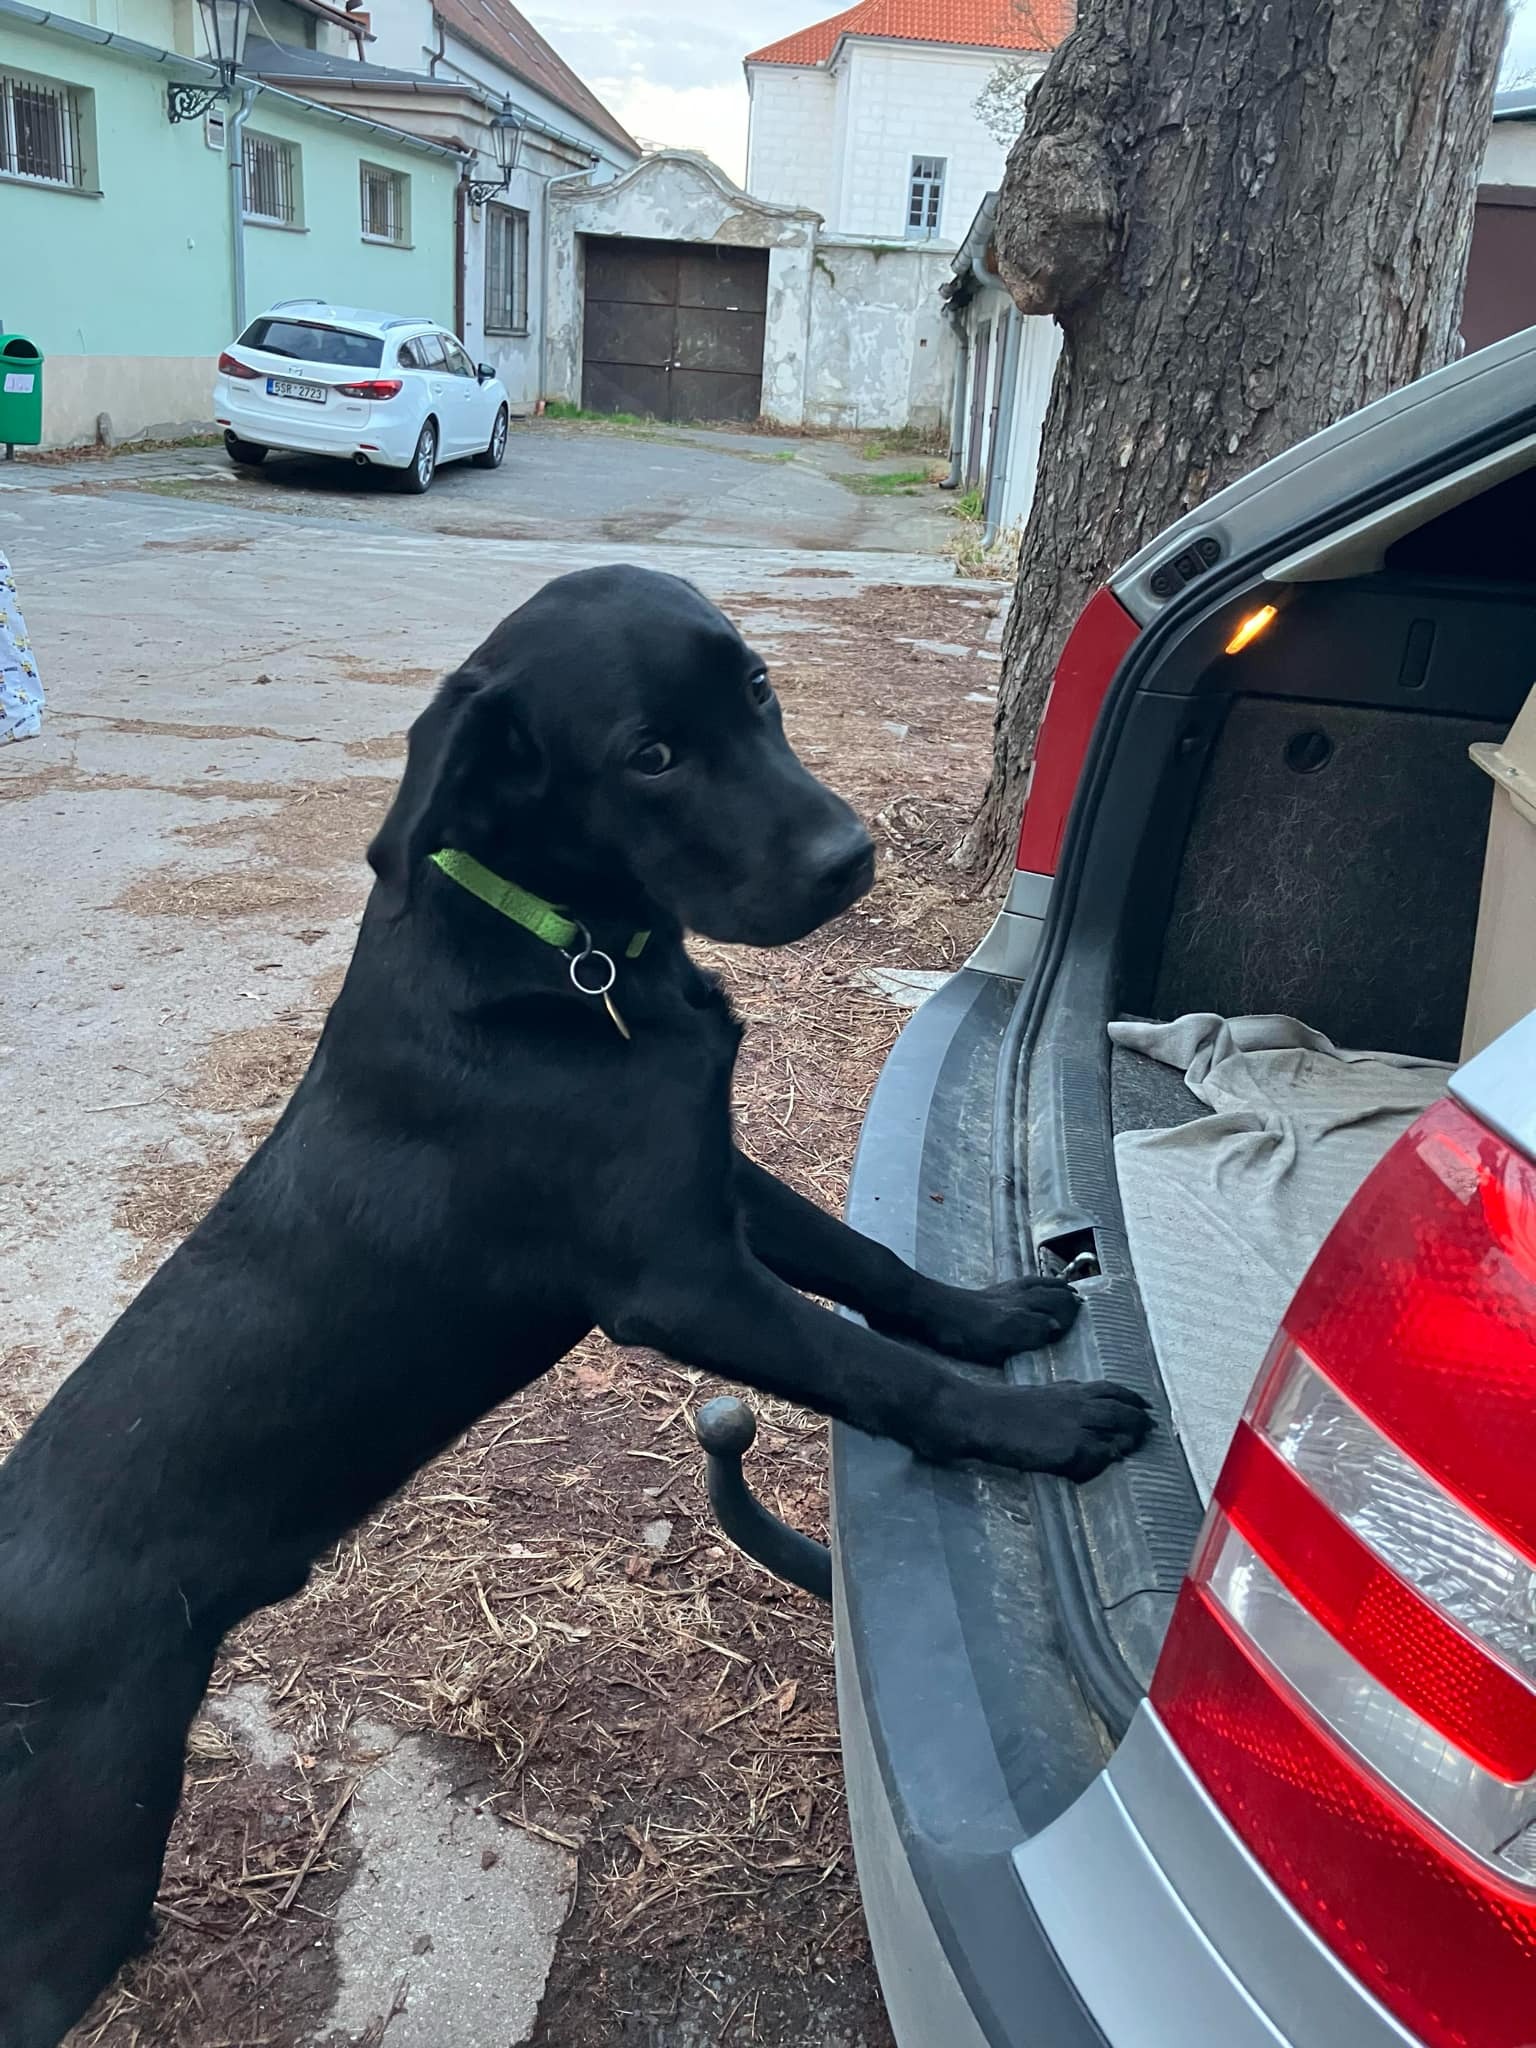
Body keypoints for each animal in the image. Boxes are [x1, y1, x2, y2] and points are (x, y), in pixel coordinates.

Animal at [0, 565, 1151, 2043]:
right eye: (649, 756)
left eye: (759, 691)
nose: (851, 858)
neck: (569, 955)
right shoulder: (681, 1280)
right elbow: (873, 1367)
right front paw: (1052, 1427)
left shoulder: (715, 1181)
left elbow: (873, 1272)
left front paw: (999, 1312)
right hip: (83, 1844)